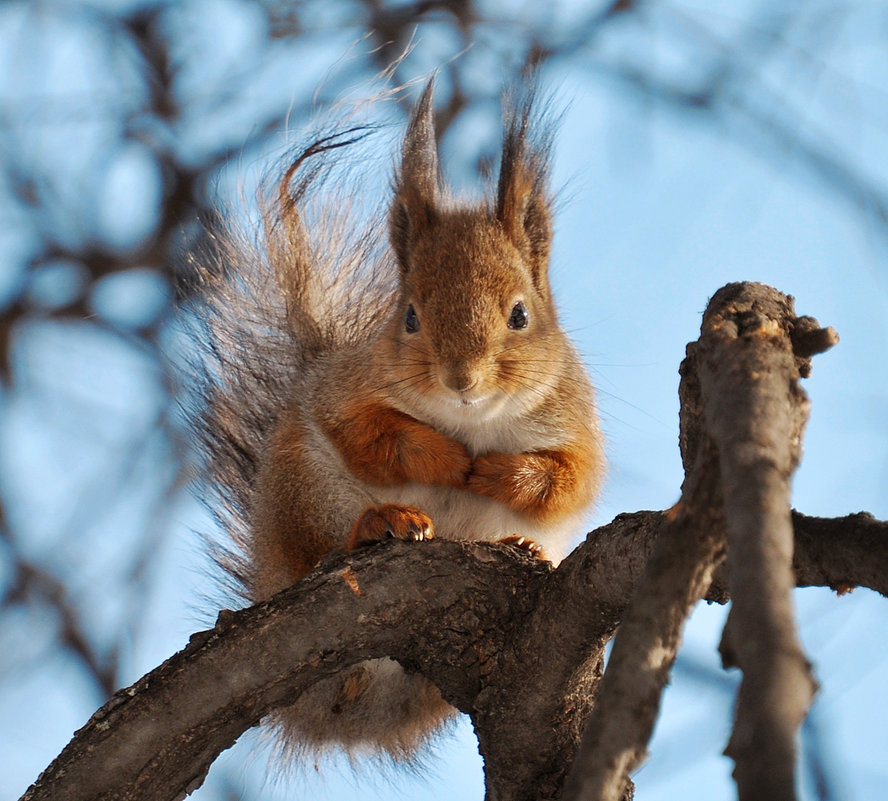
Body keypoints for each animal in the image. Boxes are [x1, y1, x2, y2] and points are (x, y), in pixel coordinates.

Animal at [187, 79, 604, 764]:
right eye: (409, 317)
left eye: (521, 315)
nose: (461, 379)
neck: (473, 422)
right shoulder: (342, 394)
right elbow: (369, 437)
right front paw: (447, 460)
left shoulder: (575, 423)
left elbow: (569, 480)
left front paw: (500, 475)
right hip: (304, 495)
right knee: (323, 546)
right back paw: (380, 523)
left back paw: (516, 544)